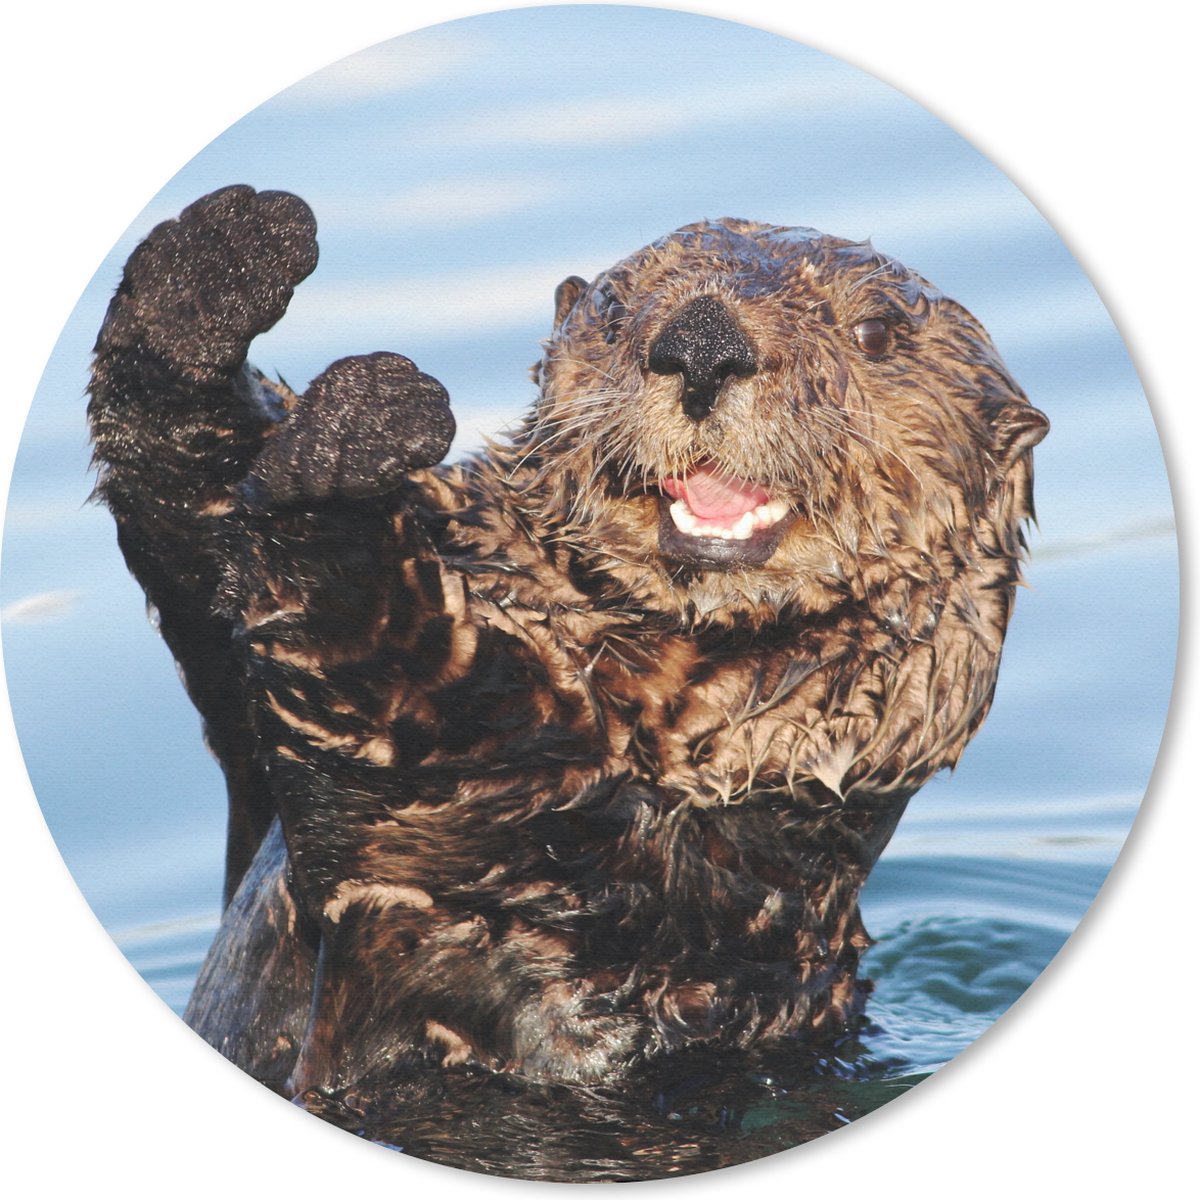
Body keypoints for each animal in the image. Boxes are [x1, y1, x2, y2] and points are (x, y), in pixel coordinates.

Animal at [87, 186, 1047, 1102]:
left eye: (875, 331)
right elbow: (196, 530)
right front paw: (217, 266)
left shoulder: (550, 863)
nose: (702, 343)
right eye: (617, 312)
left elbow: (401, 689)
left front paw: (348, 446)